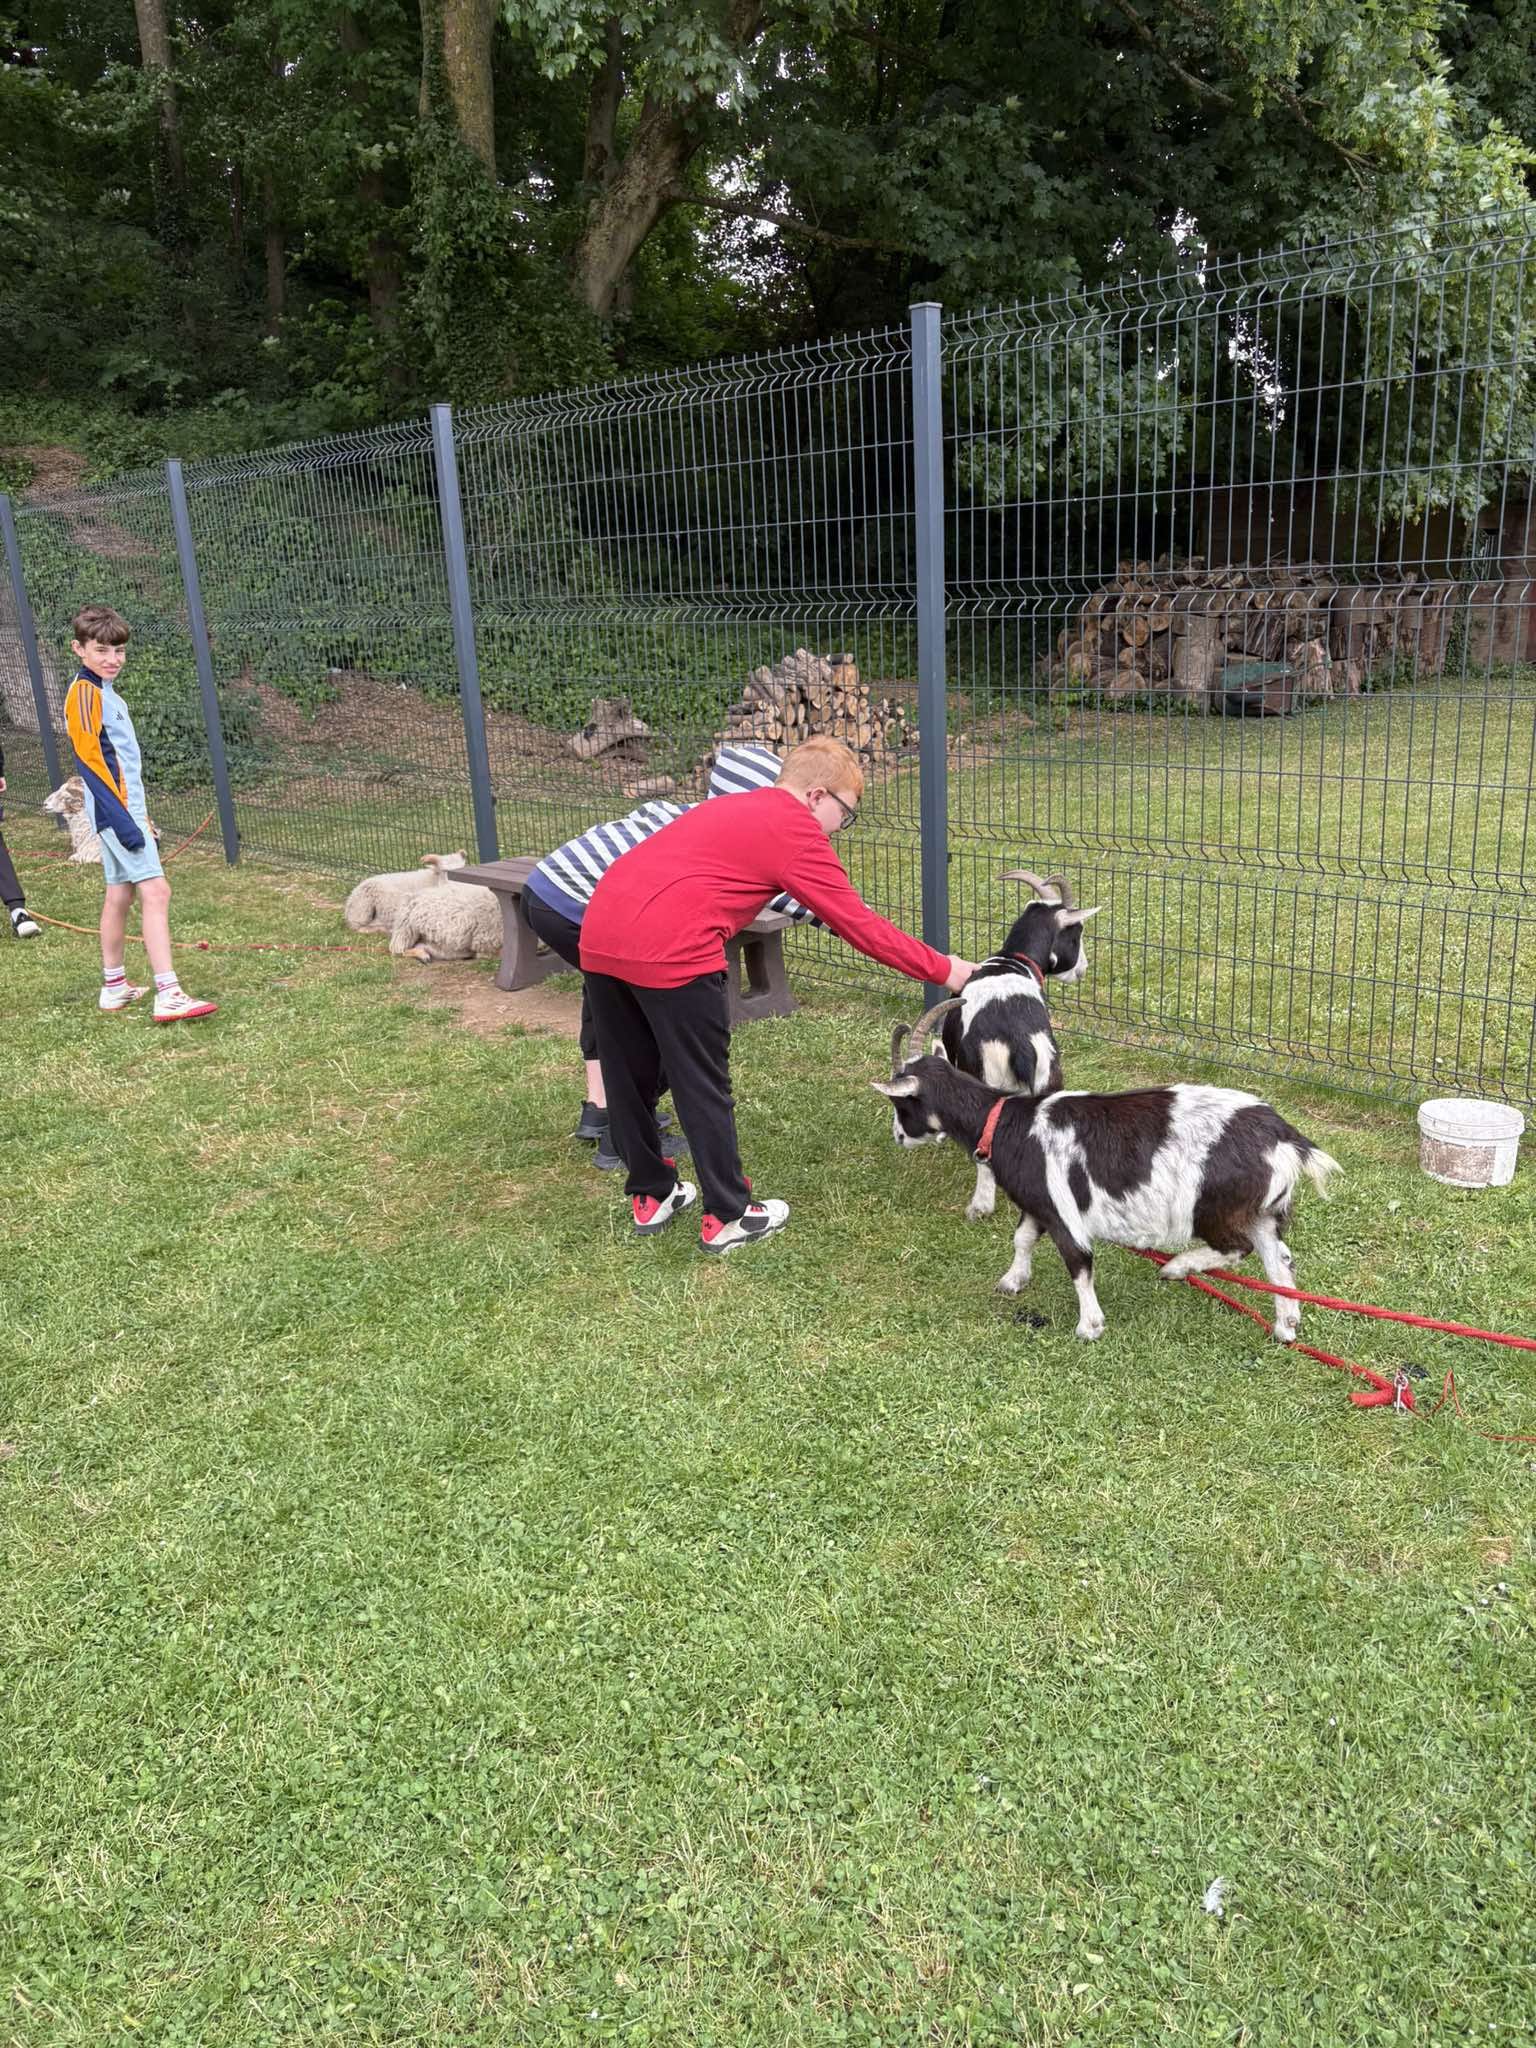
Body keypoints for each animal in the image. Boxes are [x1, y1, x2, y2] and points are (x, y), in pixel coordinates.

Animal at [874, 1000, 1340, 1343]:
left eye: (901, 1103)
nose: (897, 1136)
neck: (1008, 1124)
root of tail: (1282, 1137)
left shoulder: (1063, 1212)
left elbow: (1079, 1263)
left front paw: (1089, 1326)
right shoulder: (1037, 1202)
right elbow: (1021, 1238)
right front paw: (1012, 1281)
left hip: (1214, 1206)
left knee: (1237, 1248)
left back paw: (1176, 1267)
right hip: (1260, 1209)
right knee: (1279, 1261)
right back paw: (1285, 1327)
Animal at [887, 869, 1099, 1225]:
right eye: (1077, 932)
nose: (1082, 970)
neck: (1010, 962)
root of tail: (1020, 1043)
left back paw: (980, 1205)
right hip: (1049, 1074)